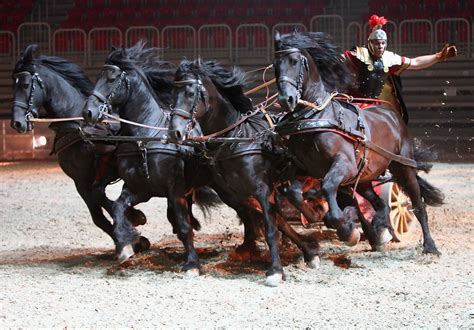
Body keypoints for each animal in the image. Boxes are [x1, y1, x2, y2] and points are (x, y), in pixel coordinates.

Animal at [10, 43, 150, 254]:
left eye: (25, 85)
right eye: (14, 84)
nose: (16, 123)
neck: (78, 127)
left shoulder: (105, 169)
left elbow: (102, 198)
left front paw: (134, 221)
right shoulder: (80, 182)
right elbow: (98, 216)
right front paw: (130, 239)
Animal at [168, 59, 326, 286]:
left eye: (190, 93)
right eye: (172, 92)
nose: (175, 132)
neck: (235, 138)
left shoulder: (262, 189)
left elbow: (271, 228)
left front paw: (275, 270)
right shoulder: (236, 193)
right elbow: (277, 222)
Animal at [272, 31, 442, 253]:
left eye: (294, 61)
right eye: (275, 65)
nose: (286, 99)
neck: (316, 117)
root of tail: (392, 115)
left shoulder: (344, 164)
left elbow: (328, 188)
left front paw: (344, 227)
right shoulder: (305, 169)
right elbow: (294, 193)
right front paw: (315, 214)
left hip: (403, 167)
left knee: (417, 205)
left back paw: (429, 246)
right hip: (364, 178)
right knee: (380, 204)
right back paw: (378, 229)